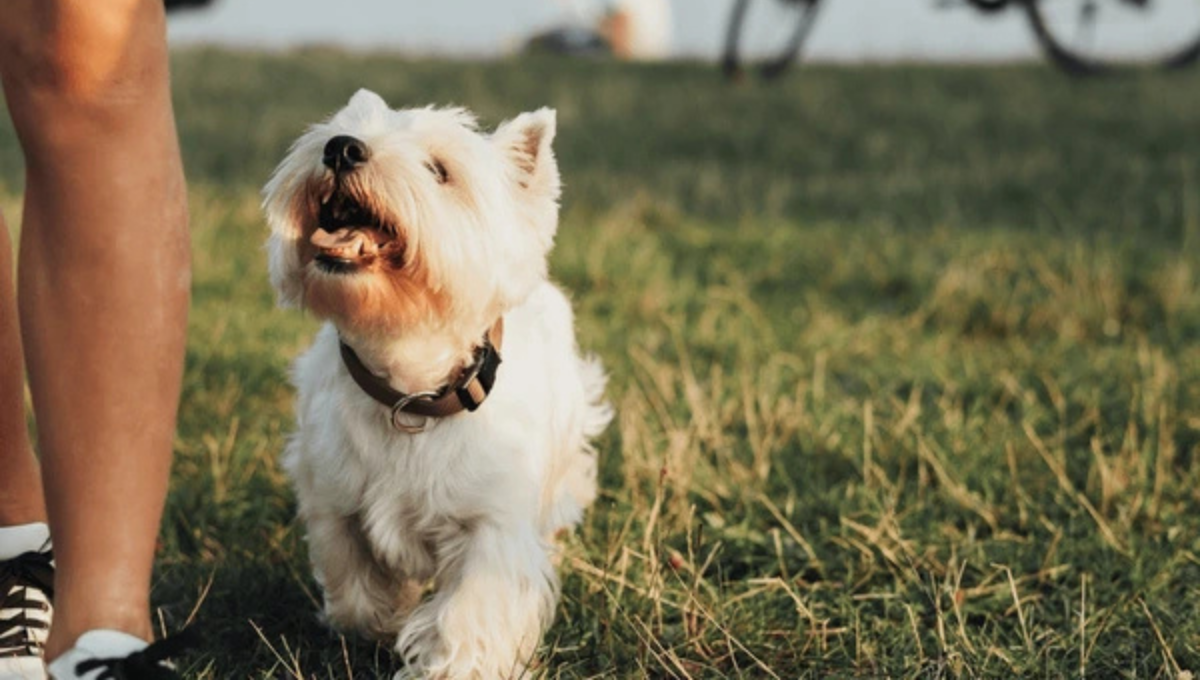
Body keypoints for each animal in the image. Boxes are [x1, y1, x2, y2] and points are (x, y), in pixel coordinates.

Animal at [266, 89, 614, 676]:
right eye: (341, 128)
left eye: (439, 170)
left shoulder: (490, 524)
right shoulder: (333, 497)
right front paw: (380, 623)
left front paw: (451, 664)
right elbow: (352, 581)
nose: (341, 148)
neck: (409, 392)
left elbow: (471, 613)